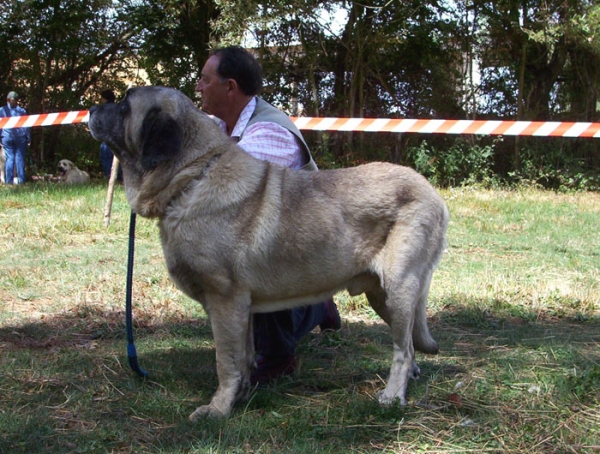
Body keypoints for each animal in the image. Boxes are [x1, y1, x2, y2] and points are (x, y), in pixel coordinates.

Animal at [86, 87, 448, 420]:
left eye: (125, 105)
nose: (91, 108)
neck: (193, 176)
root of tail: (432, 193)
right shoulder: (241, 308)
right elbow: (243, 357)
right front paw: (240, 396)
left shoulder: (224, 300)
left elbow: (226, 361)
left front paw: (217, 408)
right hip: (382, 296)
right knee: (409, 343)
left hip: (399, 287)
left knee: (403, 348)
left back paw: (392, 395)